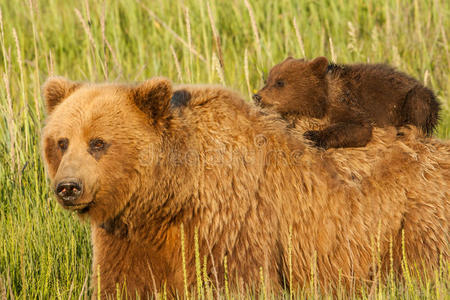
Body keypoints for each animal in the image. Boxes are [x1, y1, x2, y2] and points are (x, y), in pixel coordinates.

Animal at [41, 77, 446, 298]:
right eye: (61, 141)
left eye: (98, 143)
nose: (68, 187)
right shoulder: (129, 235)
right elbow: (124, 282)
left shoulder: (230, 219)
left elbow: (238, 281)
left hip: (408, 226)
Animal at [255, 56, 442, 149]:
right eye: (267, 79)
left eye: (280, 82)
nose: (257, 96)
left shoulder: (346, 102)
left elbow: (359, 127)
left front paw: (313, 135)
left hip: (413, 97)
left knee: (419, 104)